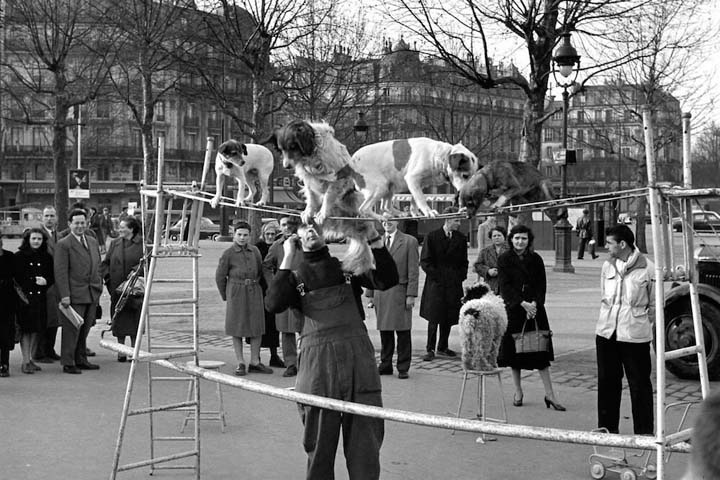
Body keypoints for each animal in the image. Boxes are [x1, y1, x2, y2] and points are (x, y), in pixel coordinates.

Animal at [348, 136, 478, 217]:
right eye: (465, 175)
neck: (439, 156)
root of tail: (351, 162)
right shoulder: (412, 179)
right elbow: (421, 198)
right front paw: (428, 212)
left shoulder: (420, 184)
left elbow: (414, 200)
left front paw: (415, 213)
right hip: (380, 187)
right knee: (364, 209)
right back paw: (380, 218)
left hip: (390, 186)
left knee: (385, 206)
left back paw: (399, 213)